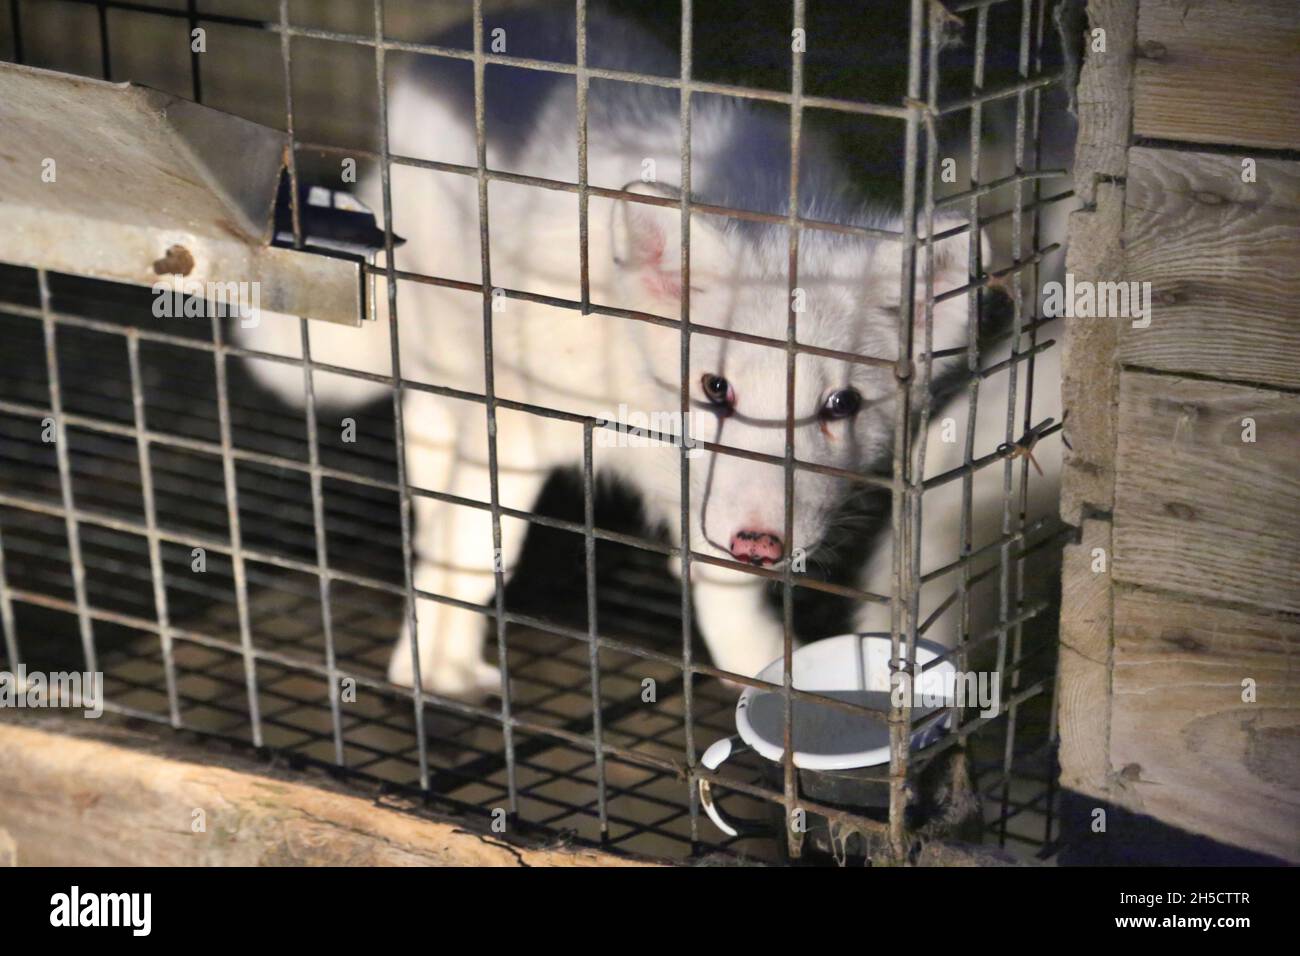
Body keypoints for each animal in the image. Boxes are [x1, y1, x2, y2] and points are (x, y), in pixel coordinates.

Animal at [239, 5, 1060, 697]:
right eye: (716, 389)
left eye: (840, 404)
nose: (760, 543)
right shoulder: (520, 426)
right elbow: (475, 552)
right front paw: (433, 669)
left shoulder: (710, 507)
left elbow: (724, 594)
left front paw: (769, 678)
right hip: (451, 346)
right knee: (430, 438)